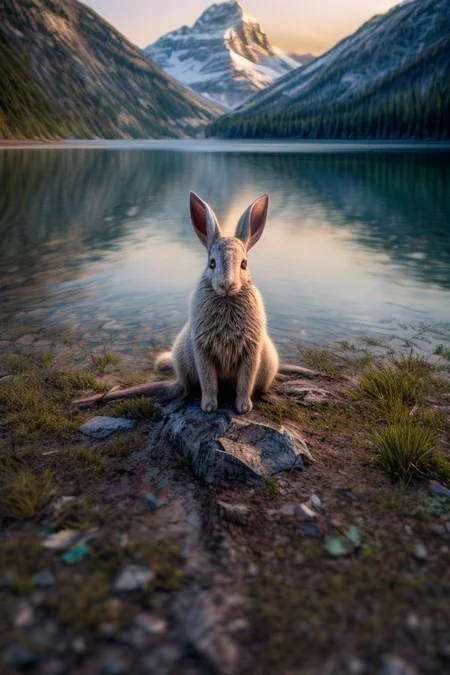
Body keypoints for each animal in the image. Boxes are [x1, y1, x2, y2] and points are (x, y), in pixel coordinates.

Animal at [155, 191, 279, 414]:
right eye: (212, 263)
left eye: (244, 264)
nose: (226, 284)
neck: (226, 300)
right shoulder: (203, 352)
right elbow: (209, 382)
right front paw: (209, 407)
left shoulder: (250, 352)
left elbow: (245, 383)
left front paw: (243, 408)